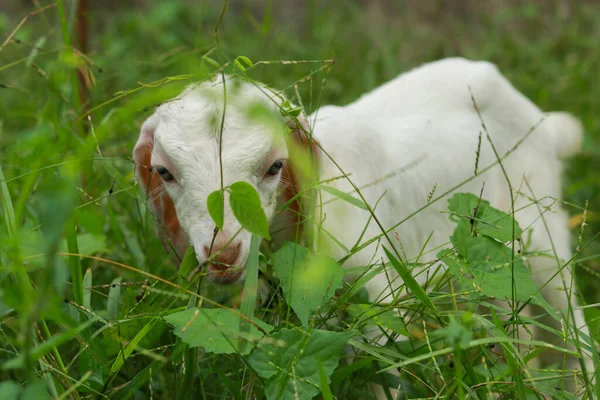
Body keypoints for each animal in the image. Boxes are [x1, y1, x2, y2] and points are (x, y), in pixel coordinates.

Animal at [134, 58, 592, 390]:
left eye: (275, 166)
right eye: (163, 172)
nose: (223, 253)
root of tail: (543, 121)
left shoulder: (376, 301)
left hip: (542, 235)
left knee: (570, 325)